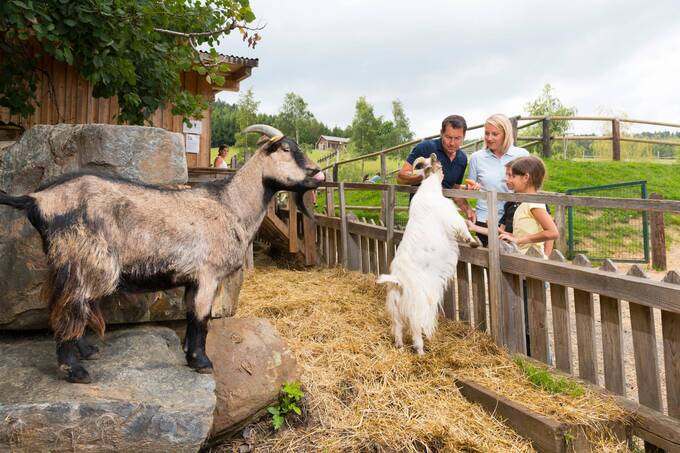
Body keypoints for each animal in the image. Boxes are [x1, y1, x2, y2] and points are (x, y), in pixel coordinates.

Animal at [0, 123, 324, 382]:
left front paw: (188, 353)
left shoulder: (193, 279)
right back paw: (75, 370)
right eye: (285, 148)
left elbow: (191, 314)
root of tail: (35, 198)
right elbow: (202, 318)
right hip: (82, 259)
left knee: (76, 306)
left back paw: (87, 351)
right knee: (69, 307)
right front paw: (201, 362)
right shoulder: (208, 274)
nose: (317, 174)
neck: (230, 204)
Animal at [378, 153, 478, 354]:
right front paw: (472, 241)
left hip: (395, 309)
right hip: (417, 307)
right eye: (437, 163)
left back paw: (400, 347)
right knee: (416, 330)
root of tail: (398, 282)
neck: (429, 190)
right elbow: (463, 226)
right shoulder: (451, 217)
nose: (435, 156)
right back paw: (421, 351)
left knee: (398, 328)